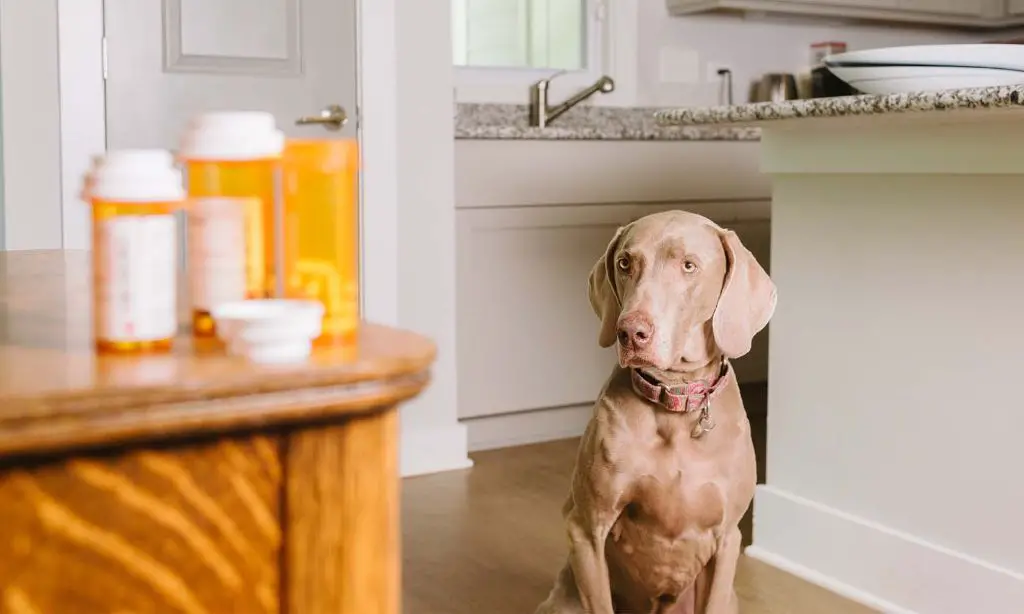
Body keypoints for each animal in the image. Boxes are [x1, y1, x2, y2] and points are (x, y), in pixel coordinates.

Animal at [536, 208, 774, 609]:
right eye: (624, 263)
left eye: (689, 265)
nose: (630, 333)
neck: (674, 403)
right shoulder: (585, 529)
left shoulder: (727, 539)